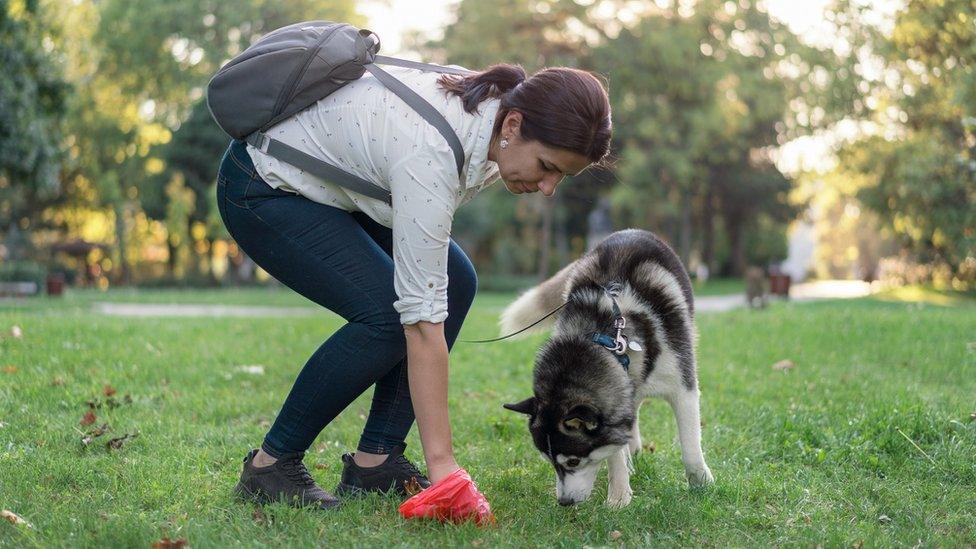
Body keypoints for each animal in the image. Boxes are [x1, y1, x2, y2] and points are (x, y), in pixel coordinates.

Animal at [500, 227, 712, 506]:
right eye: (548, 461)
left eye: (573, 461)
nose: (564, 502)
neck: (607, 337)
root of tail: (630, 230)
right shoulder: (617, 401)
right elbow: (614, 452)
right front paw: (620, 497)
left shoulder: (682, 386)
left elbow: (689, 443)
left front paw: (701, 482)